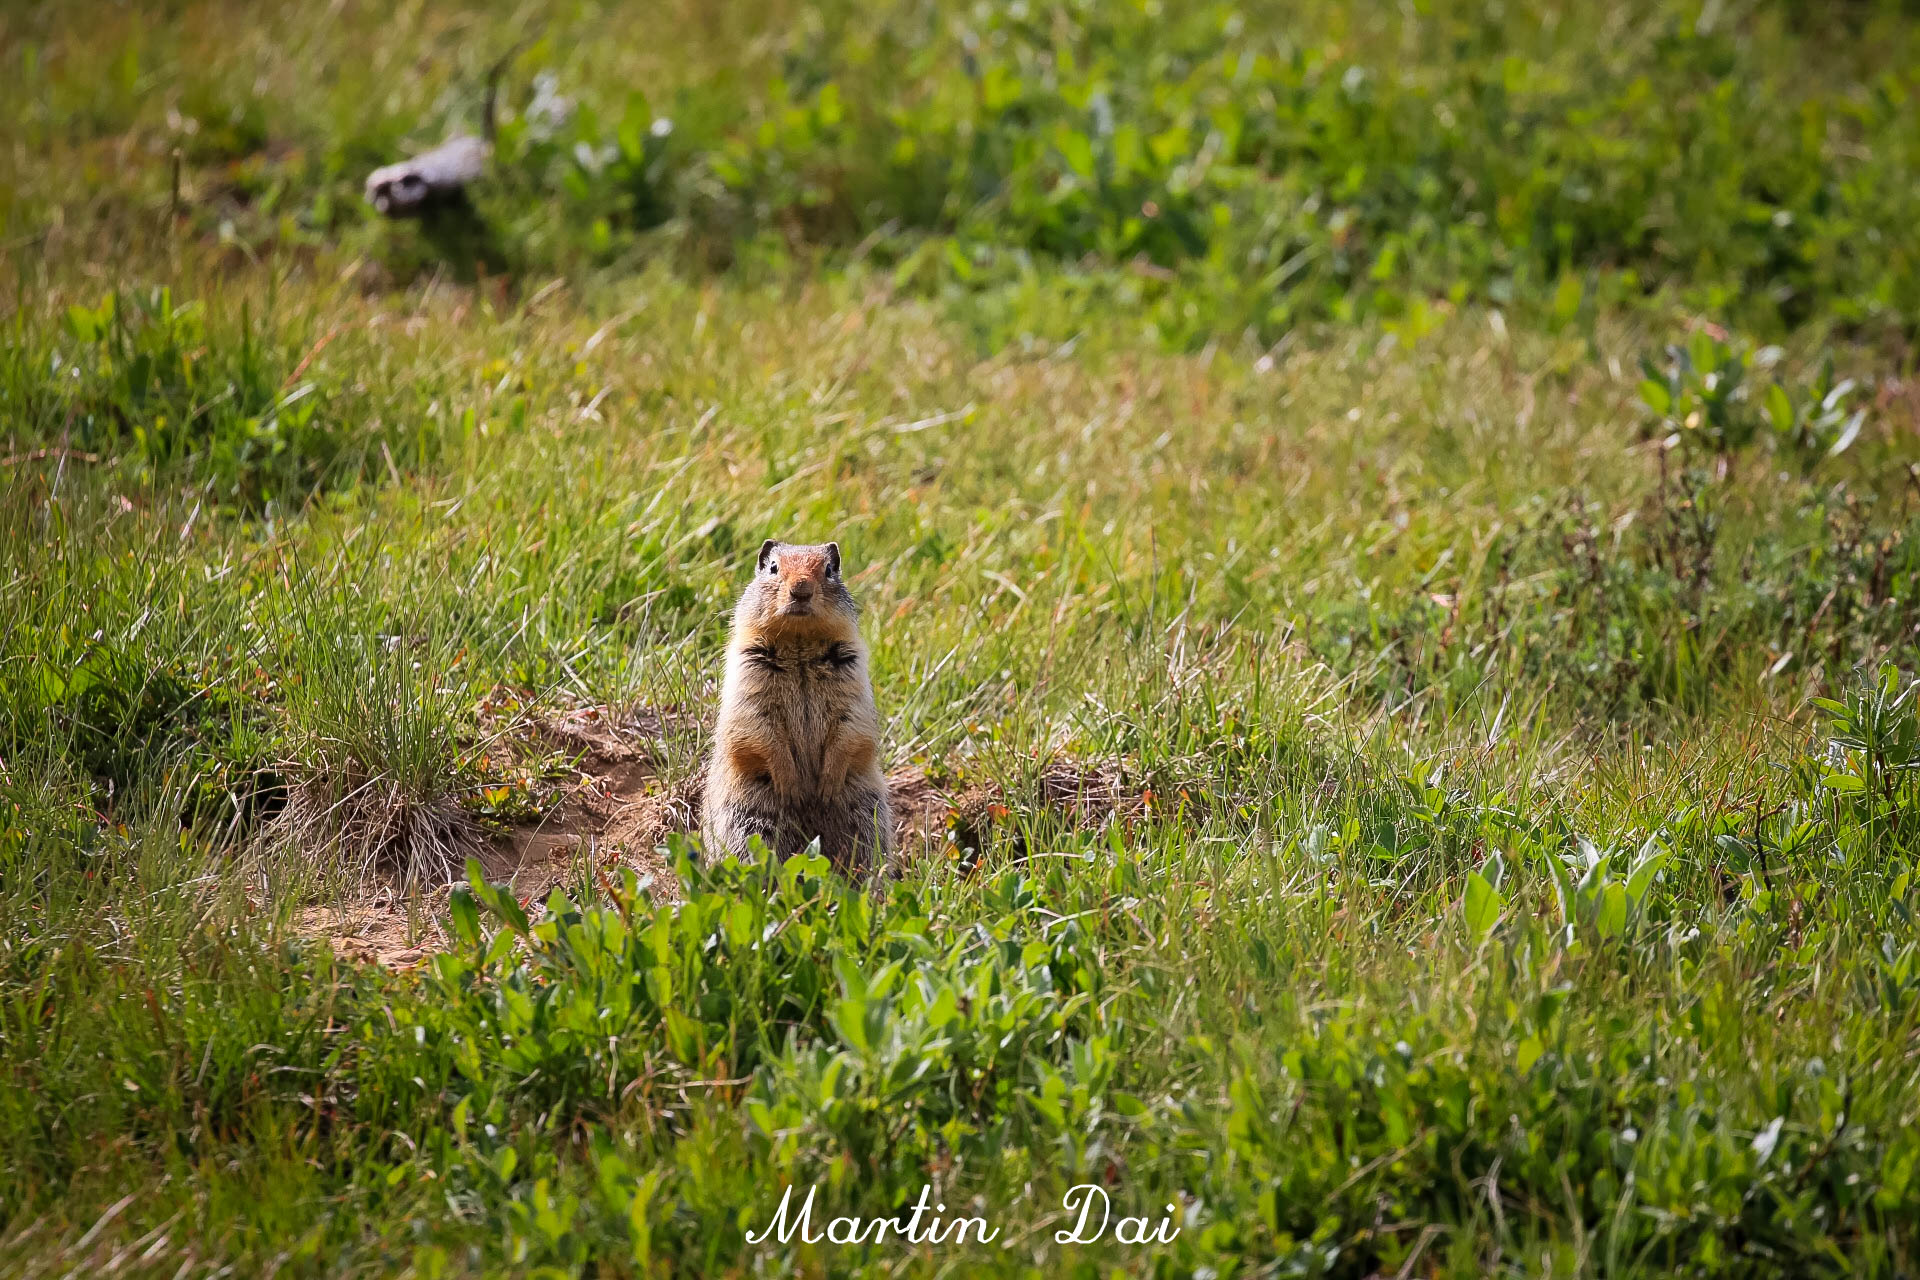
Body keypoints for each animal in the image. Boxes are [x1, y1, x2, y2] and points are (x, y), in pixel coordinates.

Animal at [698, 537, 890, 875]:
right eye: (773, 567)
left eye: (829, 570)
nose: (801, 589)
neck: (800, 642)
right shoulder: (747, 673)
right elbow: (757, 727)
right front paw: (790, 784)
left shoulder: (853, 673)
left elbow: (851, 725)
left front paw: (827, 784)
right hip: (748, 824)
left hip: (866, 817)